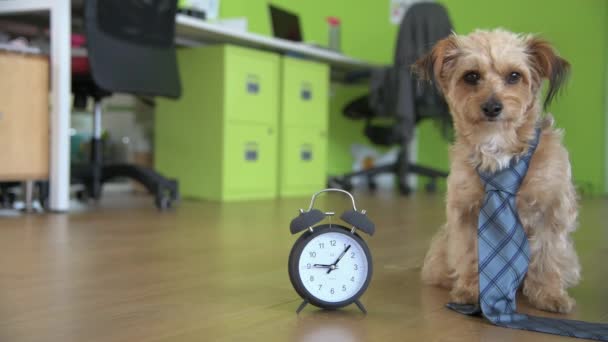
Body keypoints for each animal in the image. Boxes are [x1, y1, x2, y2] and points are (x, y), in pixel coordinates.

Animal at [416, 29, 580, 312]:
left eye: (514, 76)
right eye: (471, 76)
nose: (492, 107)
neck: (498, 147)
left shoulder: (552, 210)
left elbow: (547, 256)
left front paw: (549, 295)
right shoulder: (466, 211)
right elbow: (471, 254)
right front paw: (470, 292)